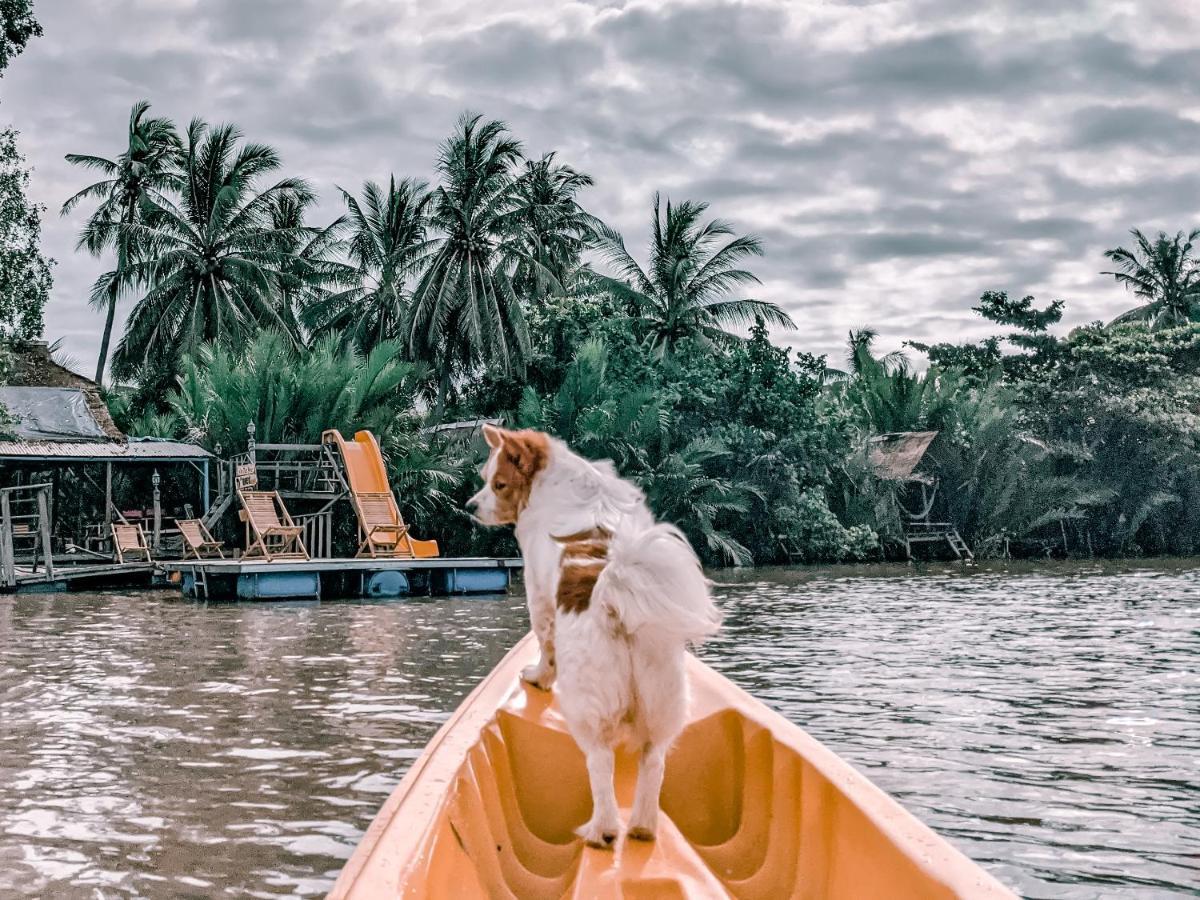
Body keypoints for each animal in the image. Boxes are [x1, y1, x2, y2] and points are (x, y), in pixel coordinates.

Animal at [463, 427, 715, 849]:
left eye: (498, 484)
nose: (469, 506)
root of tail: (614, 593)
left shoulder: (538, 594)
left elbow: (545, 646)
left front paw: (538, 677)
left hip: (587, 707)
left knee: (600, 764)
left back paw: (603, 831)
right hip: (662, 700)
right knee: (654, 763)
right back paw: (643, 826)